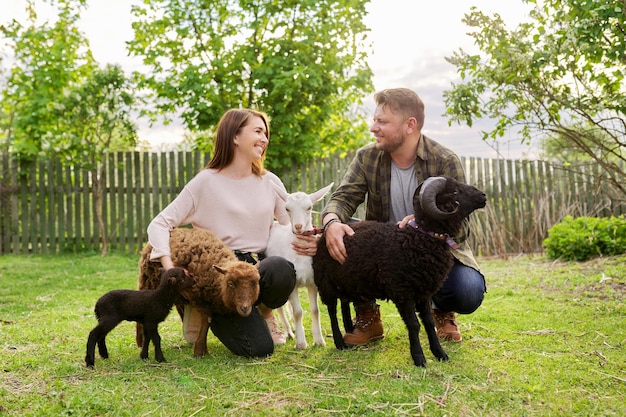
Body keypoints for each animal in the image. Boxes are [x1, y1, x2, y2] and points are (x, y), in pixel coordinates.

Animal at [136, 228, 260, 358]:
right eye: (230, 283)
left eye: (255, 283)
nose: (245, 308)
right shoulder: (197, 298)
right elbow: (206, 321)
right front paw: (200, 351)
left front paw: (201, 347)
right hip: (148, 282)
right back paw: (141, 342)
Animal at [266, 181, 334, 348]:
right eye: (287, 208)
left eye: (309, 207)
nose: (297, 226)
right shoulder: (293, 284)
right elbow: (298, 312)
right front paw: (301, 344)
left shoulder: (313, 282)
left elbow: (314, 310)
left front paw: (319, 341)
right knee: (280, 307)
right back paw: (289, 333)